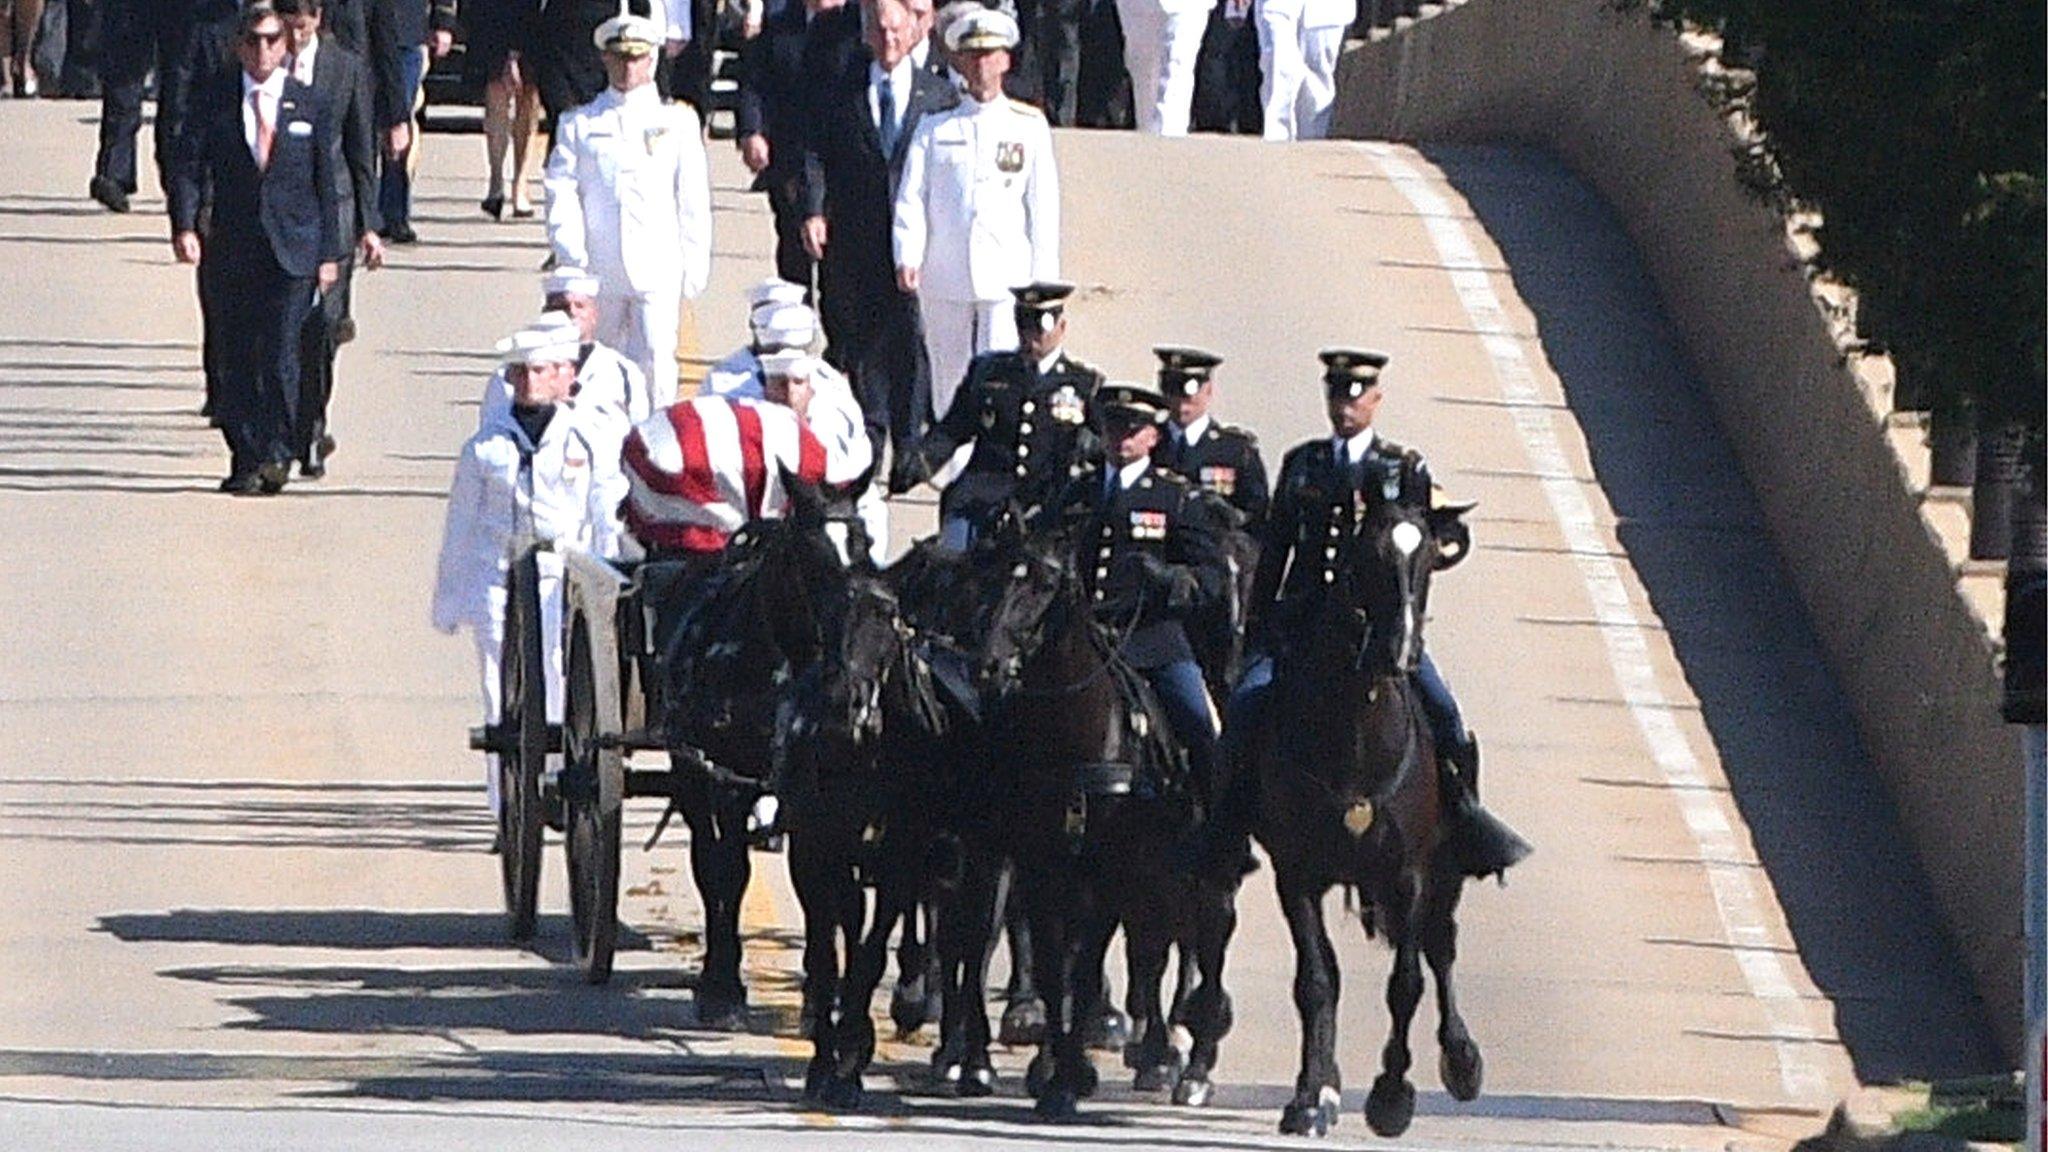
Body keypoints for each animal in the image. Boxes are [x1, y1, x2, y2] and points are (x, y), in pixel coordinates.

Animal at [970, 520, 1236, 1115]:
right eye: (996, 573)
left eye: (1045, 584)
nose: (990, 665)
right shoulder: (1042, 865)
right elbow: (1056, 966)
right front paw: (1054, 1070)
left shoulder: (1106, 872)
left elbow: (1088, 961)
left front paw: (1071, 1071)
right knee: (1153, 949)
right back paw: (1157, 1050)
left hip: (1192, 879)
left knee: (1199, 950)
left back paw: (1192, 1065)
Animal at [1236, 481, 1482, 1131]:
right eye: (1364, 559)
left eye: (1428, 560)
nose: (1400, 652)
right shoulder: (1296, 874)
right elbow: (1317, 980)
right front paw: (1309, 1095)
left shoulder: (1410, 872)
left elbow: (1407, 982)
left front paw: (1391, 1097)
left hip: (1445, 868)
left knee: (1440, 946)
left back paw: (1462, 1060)